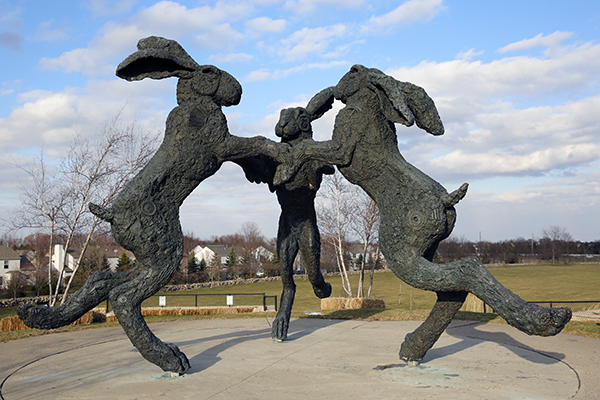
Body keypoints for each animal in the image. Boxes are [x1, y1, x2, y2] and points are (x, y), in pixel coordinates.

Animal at [17, 36, 290, 374]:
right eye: (210, 71)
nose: (238, 91)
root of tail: (111, 215)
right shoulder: (220, 142)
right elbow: (256, 142)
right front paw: (282, 156)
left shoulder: (224, 148)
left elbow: (249, 154)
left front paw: (263, 173)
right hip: (165, 251)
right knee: (123, 297)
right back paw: (169, 358)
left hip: (146, 257)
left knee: (101, 281)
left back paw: (39, 316)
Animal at [276, 65, 572, 362]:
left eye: (353, 71)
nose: (332, 91)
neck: (369, 104)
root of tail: (444, 200)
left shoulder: (342, 141)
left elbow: (308, 148)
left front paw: (284, 171)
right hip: (426, 249)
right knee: (453, 291)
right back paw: (414, 347)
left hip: (401, 253)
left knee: (467, 269)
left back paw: (546, 320)